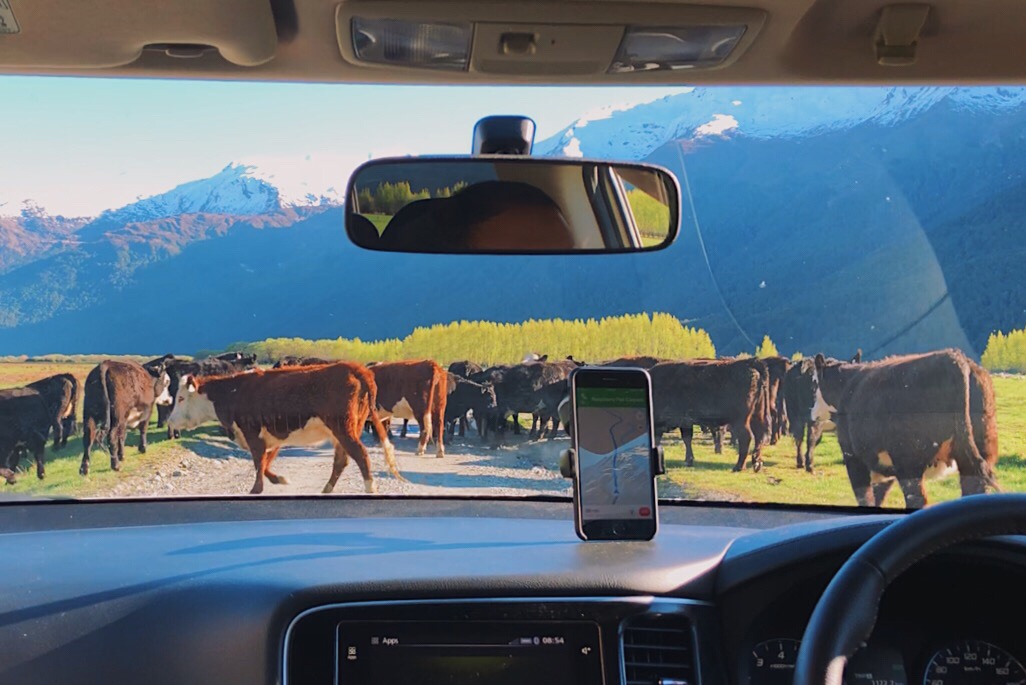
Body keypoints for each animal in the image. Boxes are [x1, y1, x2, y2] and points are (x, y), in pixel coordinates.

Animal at [166, 360, 402, 494]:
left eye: (180, 398)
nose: (170, 421)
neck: (233, 392)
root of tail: (356, 368)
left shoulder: (253, 435)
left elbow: (258, 463)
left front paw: (256, 490)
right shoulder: (273, 438)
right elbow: (265, 464)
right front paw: (279, 479)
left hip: (344, 428)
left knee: (360, 455)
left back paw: (370, 488)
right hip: (345, 430)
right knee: (341, 461)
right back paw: (326, 490)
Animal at [812, 350, 997, 506]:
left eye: (814, 384)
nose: (813, 414)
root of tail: (953, 357)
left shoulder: (852, 457)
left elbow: (865, 497)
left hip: (908, 461)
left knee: (917, 499)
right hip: (980, 450)